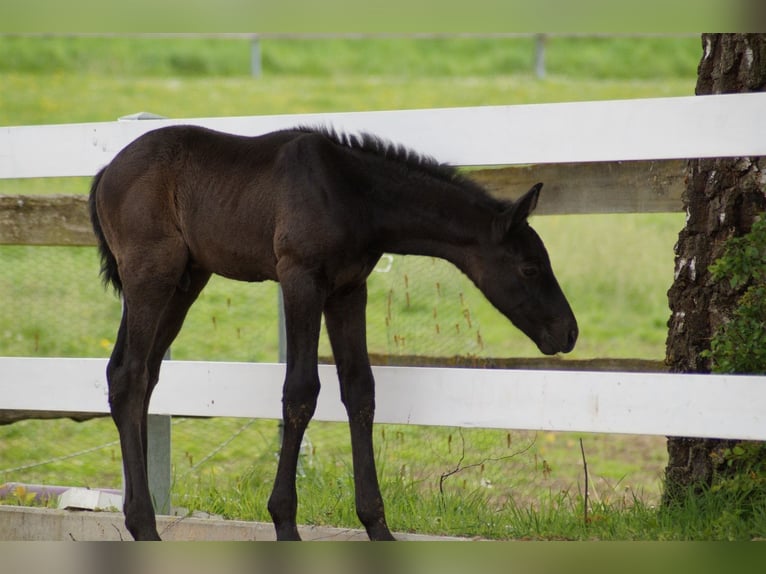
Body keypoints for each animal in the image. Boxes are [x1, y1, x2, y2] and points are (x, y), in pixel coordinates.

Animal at [90, 124, 580, 544]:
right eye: (529, 267)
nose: (568, 332)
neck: (352, 194)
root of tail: (106, 173)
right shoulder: (301, 279)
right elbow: (301, 391)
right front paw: (285, 522)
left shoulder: (348, 289)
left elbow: (360, 390)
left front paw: (377, 525)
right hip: (151, 274)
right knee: (131, 375)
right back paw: (144, 524)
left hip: (186, 280)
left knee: (136, 374)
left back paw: (139, 515)